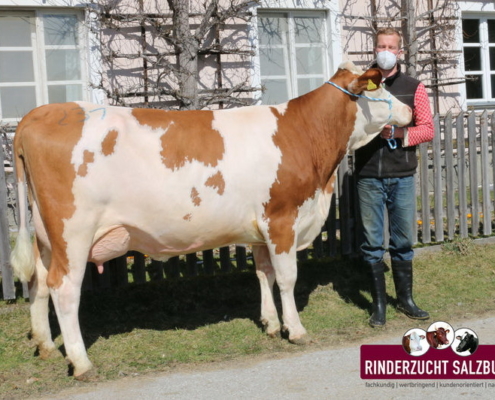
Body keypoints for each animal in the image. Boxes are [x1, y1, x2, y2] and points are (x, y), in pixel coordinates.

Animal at [9, 61, 412, 380]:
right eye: (380, 88)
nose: (410, 110)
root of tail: (38, 114)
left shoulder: (259, 229)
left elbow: (263, 273)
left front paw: (270, 323)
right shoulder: (281, 219)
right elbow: (286, 278)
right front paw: (294, 329)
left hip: (47, 235)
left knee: (39, 281)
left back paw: (46, 344)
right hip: (73, 233)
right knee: (63, 288)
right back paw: (80, 362)